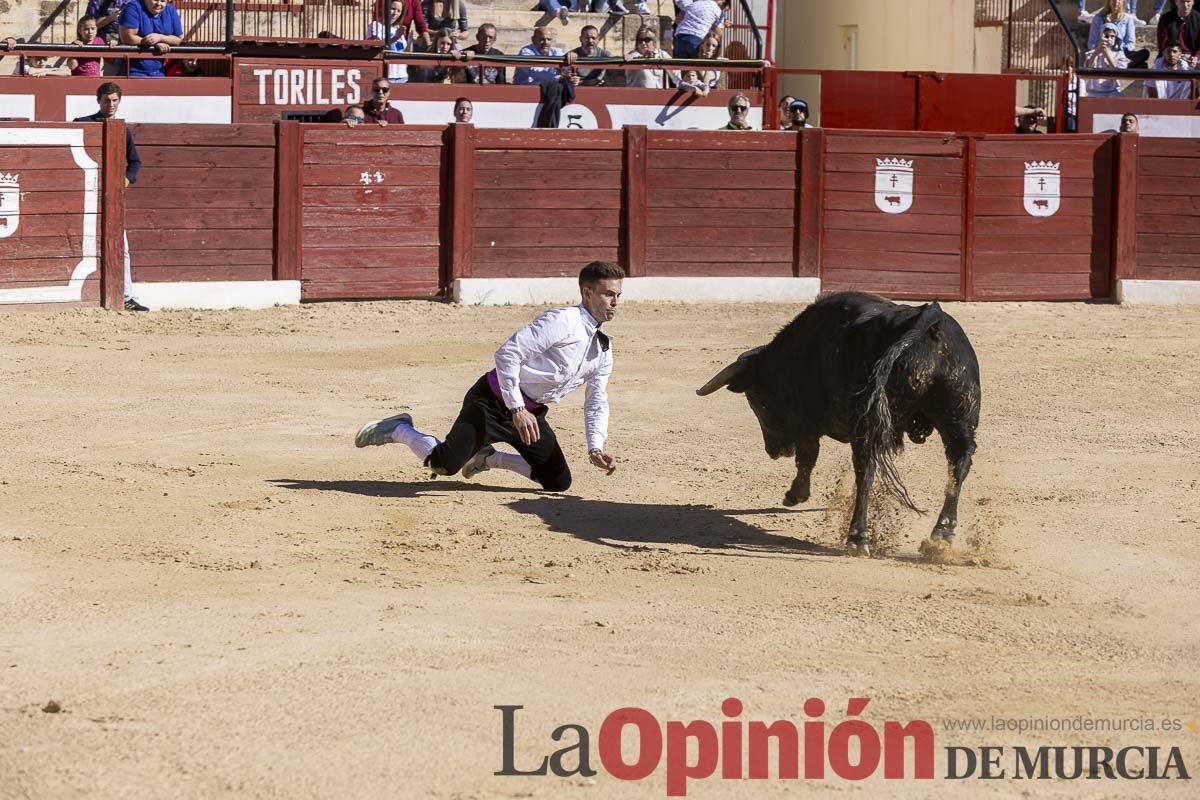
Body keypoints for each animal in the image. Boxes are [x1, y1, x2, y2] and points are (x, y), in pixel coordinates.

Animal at [700, 291, 979, 561]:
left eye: (756, 401)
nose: (773, 451)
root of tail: (928, 320)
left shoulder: (806, 423)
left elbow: (807, 457)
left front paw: (795, 494)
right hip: (960, 419)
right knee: (958, 465)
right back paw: (941, 535)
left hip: (867, 424)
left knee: (866, 469)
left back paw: (858, 538)